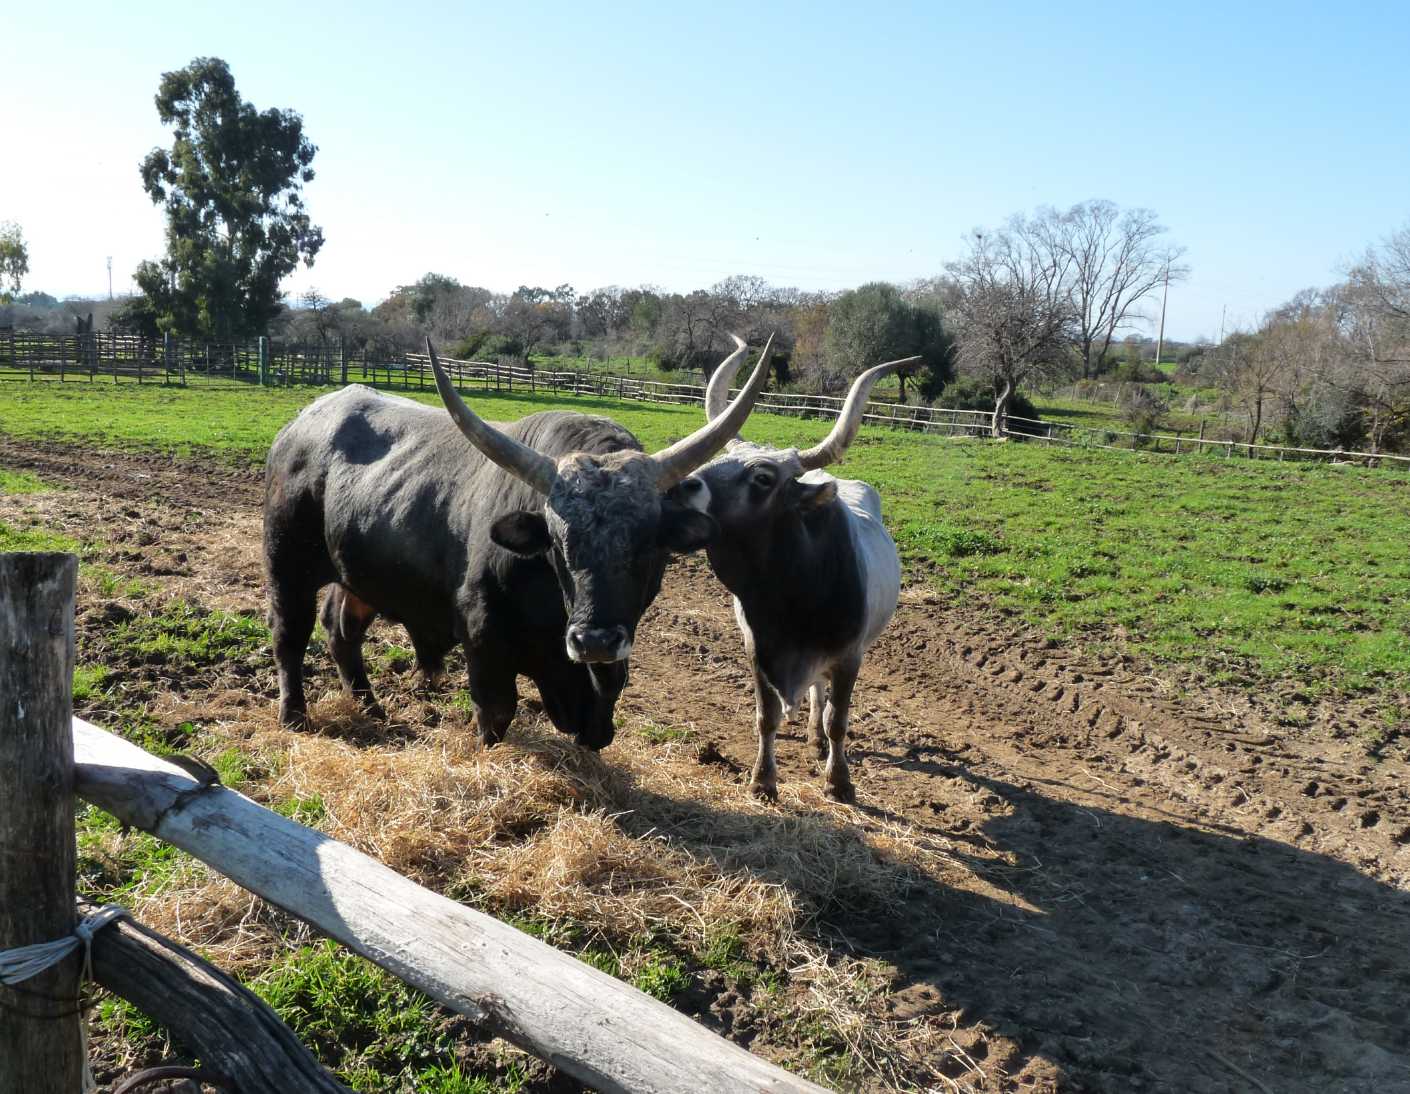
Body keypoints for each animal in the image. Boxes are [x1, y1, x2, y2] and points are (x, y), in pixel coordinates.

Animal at [265, 339, 772, 750]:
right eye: (557, 545)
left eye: (649, 546)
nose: (594, 640)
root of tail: (304, 420)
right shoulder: (482, 636)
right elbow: (496, 713)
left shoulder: (604, 672)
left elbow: (596, 728)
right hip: (286, 560)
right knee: (290, 633)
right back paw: (294, 716)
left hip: (355, 572)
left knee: (341, 629)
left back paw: (370, 708)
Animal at [671, 343, 913, 800]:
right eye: (722, 459)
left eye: (763, 477)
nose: (678, 488)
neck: (794, 595)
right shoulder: (757, 651)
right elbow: (766, 717)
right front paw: (763, 779)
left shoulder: (849, 658)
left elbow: (839, 721)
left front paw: (839, 781)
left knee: (824, 700)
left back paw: (819, 741)